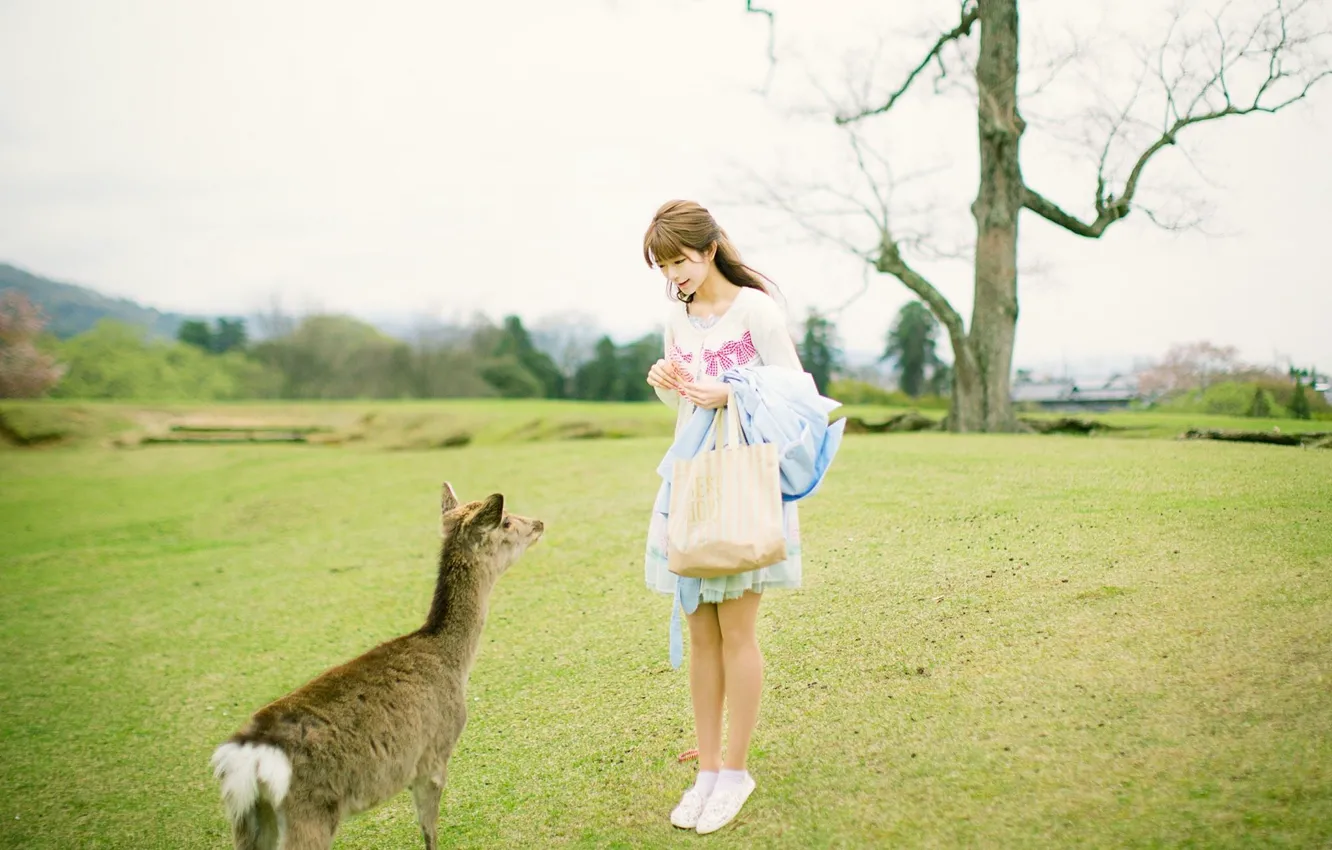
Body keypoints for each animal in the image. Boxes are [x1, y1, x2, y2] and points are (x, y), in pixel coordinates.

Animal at [210, 483, 544, 850]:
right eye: (506, 521)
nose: (539, 523)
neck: (454, 663)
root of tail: (246, 758)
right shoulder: (433, 754)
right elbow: (430, 830)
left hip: (247, 821)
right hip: (309, 813)